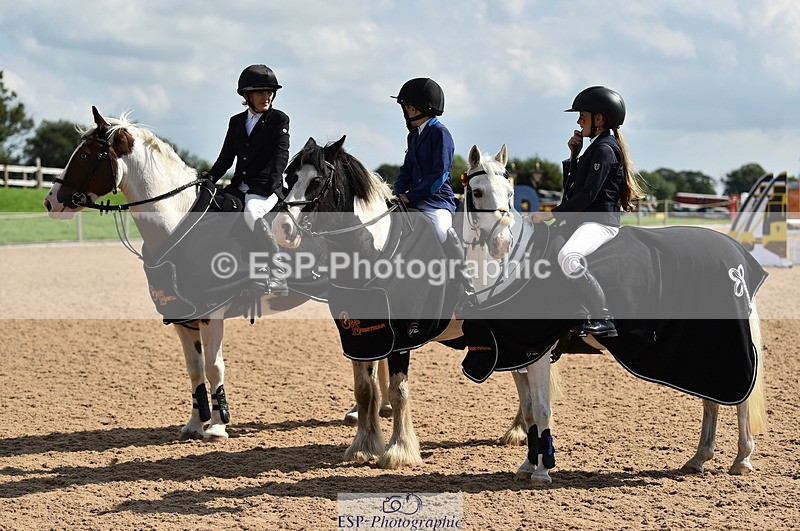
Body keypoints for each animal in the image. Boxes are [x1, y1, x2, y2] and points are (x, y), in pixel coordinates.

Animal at [43, 107, 327, 442]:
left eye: (86, 154)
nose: (51, 201)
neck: (181, 224)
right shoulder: (181, 315)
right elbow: (195, 368)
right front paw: (194, 423)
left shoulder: (212, 312)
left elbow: (215, 366)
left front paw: (217, 425)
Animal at [272, 136, 550, 470]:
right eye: (289, 178)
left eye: (318, 180)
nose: (282, 228)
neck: (373, 250)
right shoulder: (359, 335)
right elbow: (365, 390)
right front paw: (364, 446)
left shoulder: (403, 336)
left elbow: (397, 391)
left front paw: (399, 450)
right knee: (520, 373)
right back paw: (520, 428)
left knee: (525, 372)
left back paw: (522, 430)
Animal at [462, 144, 768, 483]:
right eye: (477, 192)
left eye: (510, 192)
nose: (502, 243)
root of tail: (734, 252)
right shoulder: (519, 354)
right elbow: (529, 410)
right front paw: (528, 465)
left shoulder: (537, 352)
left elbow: (542, 409)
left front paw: (542, 471)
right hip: (703, 347)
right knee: (712, 396)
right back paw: (699, 457)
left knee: (740, 396)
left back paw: (742, 458)